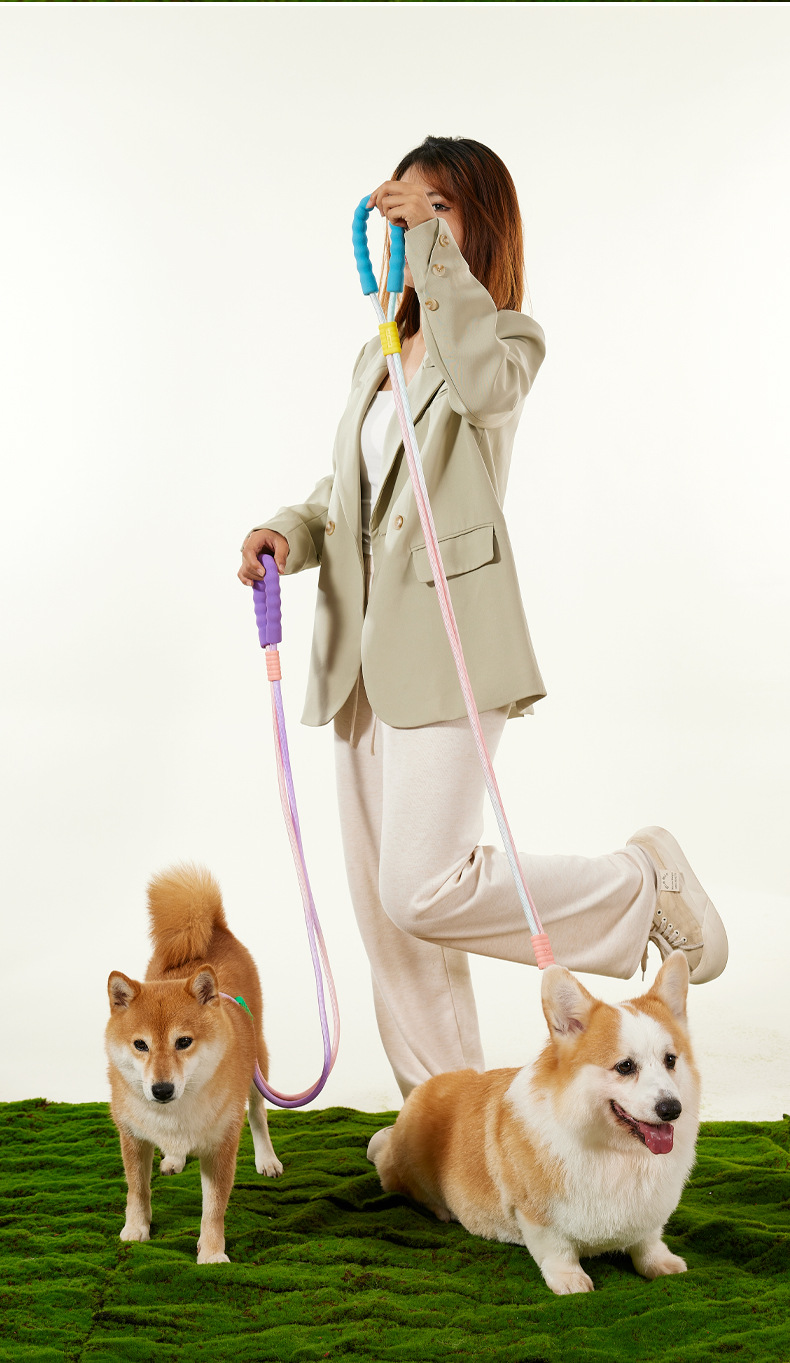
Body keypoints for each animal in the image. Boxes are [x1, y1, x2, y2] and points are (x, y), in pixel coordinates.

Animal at [105, 864, 282, 1264]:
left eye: (183, 1042)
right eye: (140, 1045)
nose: (161, 1089)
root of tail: (214, 927)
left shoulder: (220, 1146)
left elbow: (214, 1207)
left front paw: (212, 1253)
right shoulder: (132, 1137)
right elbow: (137, 1190)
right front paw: (136, 1228)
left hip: (258, 1063)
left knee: (258, 1114)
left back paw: (266, 1158)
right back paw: (173, 1157)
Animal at [368, 952, 699, 1295]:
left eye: (670, 1060)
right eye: (625, 1066)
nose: (672, 1109)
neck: (618, 1152)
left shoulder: (650, 1215)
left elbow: (648, 1242)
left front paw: (662, 1264)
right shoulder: (535, 1215)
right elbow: (558, 1249)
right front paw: (570, 1280)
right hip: (406, 1165)